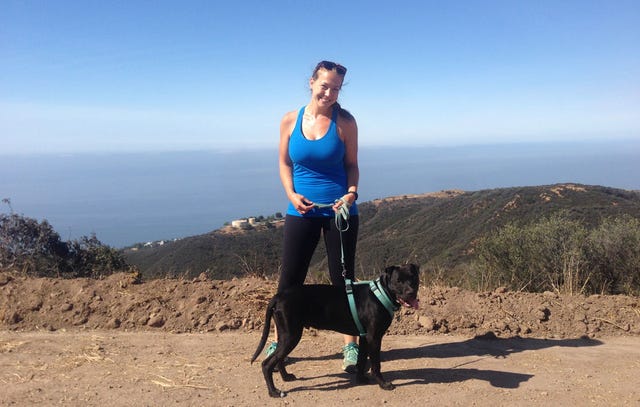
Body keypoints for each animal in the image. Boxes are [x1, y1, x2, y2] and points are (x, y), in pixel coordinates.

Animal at [250, 264, 420, 398]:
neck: (381, 293)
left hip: (285, 335)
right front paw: (383, 384)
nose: (411, 292)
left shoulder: (364, 337)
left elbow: (361, 361)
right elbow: (376, 364)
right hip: (291, 336)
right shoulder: (374, 337)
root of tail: (277, 297)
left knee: (278, 359)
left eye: (413, 279)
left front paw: (361, 380)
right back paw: (273, 392)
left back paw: (286, 377)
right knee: (267, 364)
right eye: (398, 281)